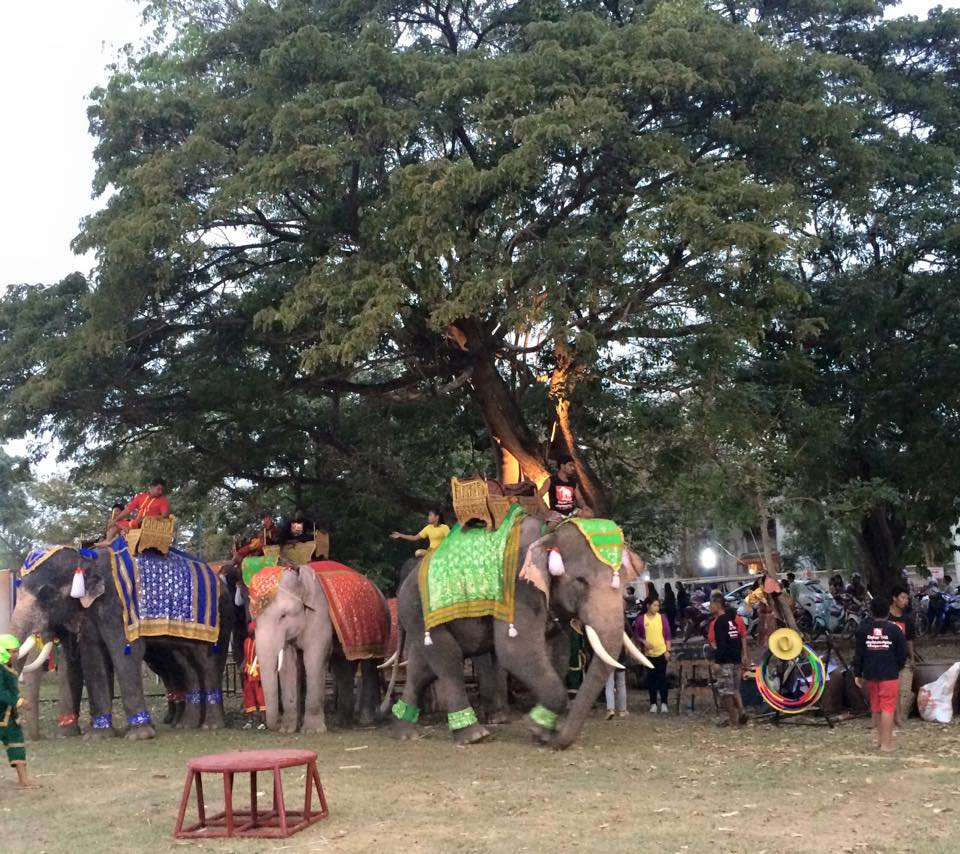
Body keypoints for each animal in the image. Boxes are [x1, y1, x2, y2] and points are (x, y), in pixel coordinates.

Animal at [9, 548, 231, 744]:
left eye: (47, 595)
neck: (86, 558)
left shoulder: (117, 607)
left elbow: (124, 652)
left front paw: (139, 735)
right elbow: (93, 658)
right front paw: (97, 736)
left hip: (220, 617)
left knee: (207, 662)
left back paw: (210, 726)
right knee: (187, 665)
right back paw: (187, 724)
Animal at [255, 568, 394, 736]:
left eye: (283, 615)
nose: (273, 726)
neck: (301, 580)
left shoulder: (320, 617)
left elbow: (313, 659)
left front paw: (312, 731)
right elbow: (289, 665)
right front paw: (287, 730)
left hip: (380, 631)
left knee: (369, 666)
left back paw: (365, 721)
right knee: (344, 666)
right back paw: (342, 721)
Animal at [394, 516, 648, 748]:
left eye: (626, 586)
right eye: (580, 581)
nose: (558, 739)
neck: (550, 533)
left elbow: (559, 650)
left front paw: (542, 731)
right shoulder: (518, 586)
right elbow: (515, 651)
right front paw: (535, 728)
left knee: (423, 668)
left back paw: (406, 732)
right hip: (418, 610)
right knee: (449, 659)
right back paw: (474, 736)